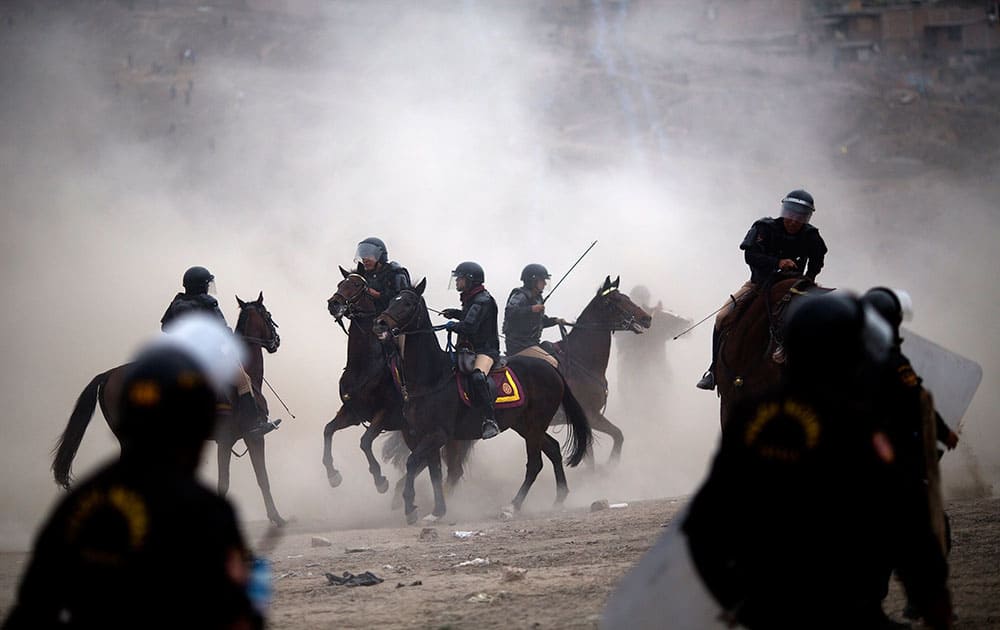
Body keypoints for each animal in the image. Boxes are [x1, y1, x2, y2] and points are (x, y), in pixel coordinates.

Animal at [52, 296, 286, 528]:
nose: (277, 340)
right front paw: (277, 517)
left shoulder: (234, 439)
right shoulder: (244, 437)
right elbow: (251, 480)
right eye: (268, 315)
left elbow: (251, 479)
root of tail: (110, 374)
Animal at [324, 270, 472, 496]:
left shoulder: (385, 414)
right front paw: (333, 475)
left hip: (449, 437)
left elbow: (365, 442)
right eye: (341, 283)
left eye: (357, 285)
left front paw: (379, 480)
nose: (334, 303)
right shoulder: (353, 412)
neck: (366, 366)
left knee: (450, 468)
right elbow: (328, 430)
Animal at [374, 280, 592, 524]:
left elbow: (413, 463)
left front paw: (410, 506)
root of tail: (552, 369)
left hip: (535, 424)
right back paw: (559, 497)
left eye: (408, 303)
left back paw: (512, 507)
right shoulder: (425, 435)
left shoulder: (438, 434)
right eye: (392, 300)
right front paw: (437, 511)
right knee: (553, 449)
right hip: (525, 425)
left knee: (535, 463)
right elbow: (434, 472)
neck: (432, 377)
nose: (380, 323)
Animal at [544, 276, 652, 464]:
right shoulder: (591, 416)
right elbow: (618, 435)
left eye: (626, 297)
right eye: (617, 300)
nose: (647, 318)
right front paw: (610, 465)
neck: (580, 361)